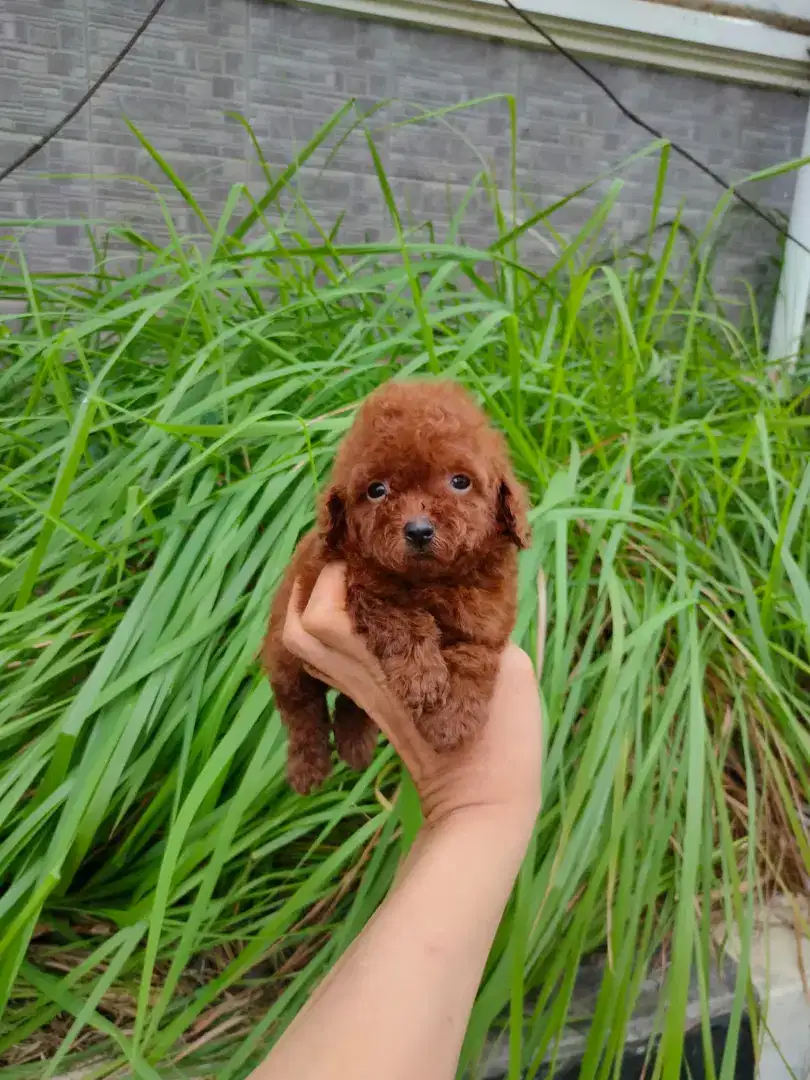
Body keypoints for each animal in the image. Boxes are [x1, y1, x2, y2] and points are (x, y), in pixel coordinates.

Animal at [264, 380, 533, 794]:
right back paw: (307, 768)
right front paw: (421, 679)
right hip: (284, 658)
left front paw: (453, 720)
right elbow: (402, 617)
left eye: (460, 481)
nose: (419, 530)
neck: (433, 579)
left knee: (352, 704)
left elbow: (475, 653)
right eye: (377, 490)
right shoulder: (360, 586)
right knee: (301, 712)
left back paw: (355, 747)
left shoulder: (490, 611)